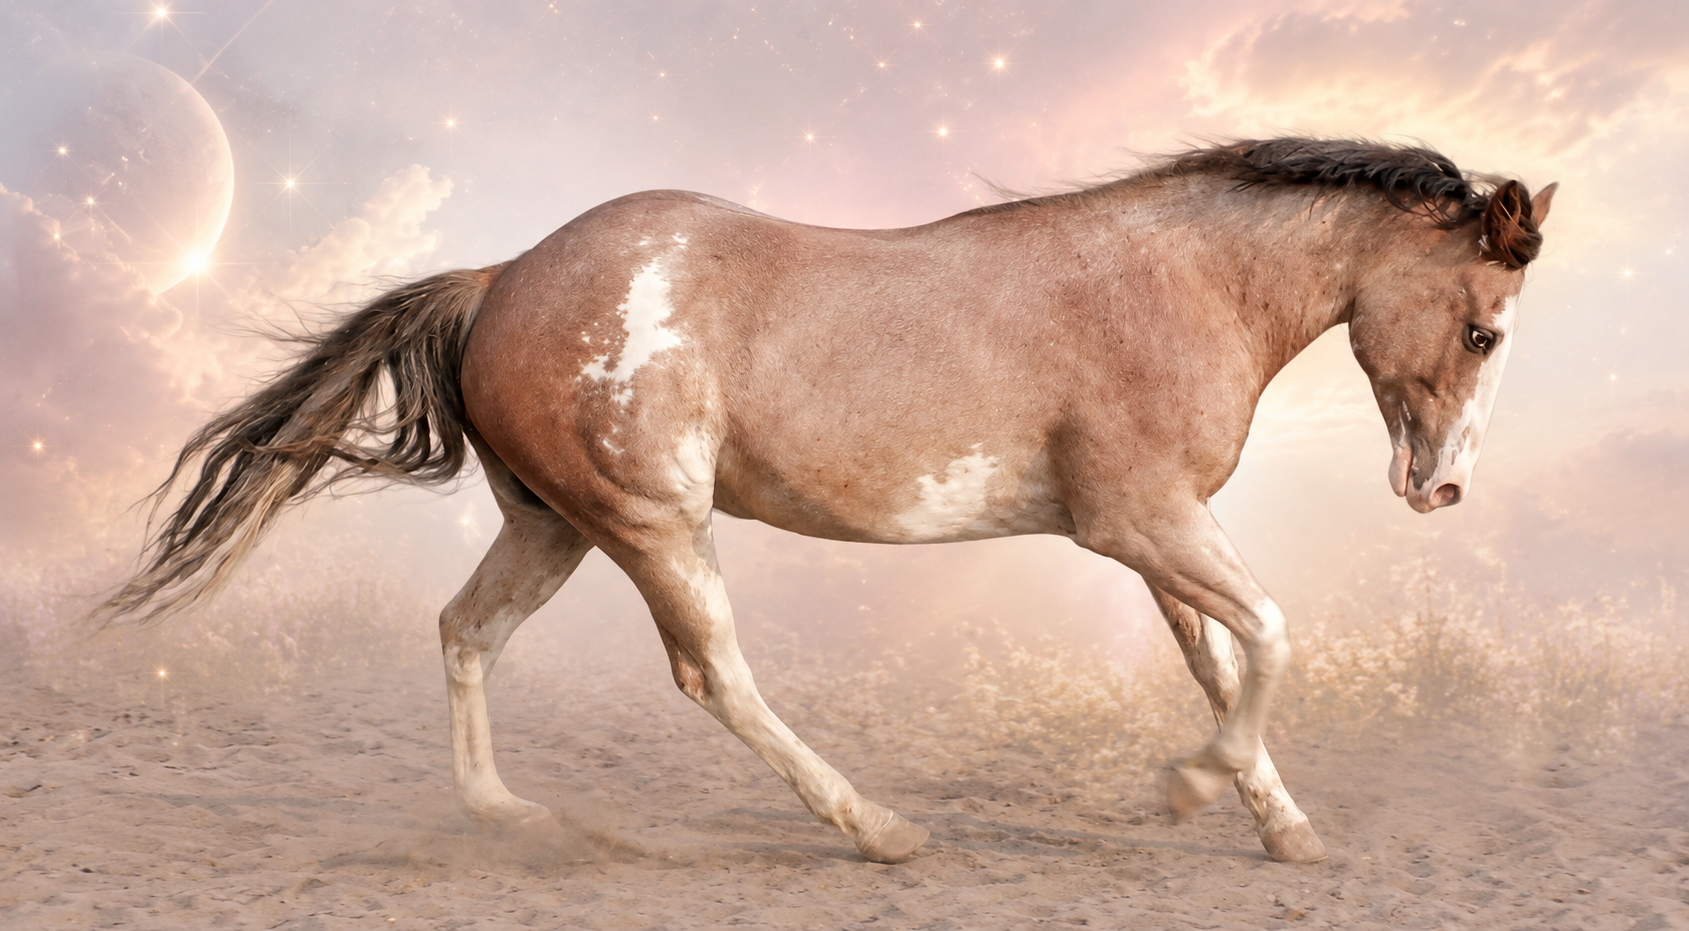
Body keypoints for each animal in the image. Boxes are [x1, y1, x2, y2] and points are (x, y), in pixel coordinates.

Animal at [102, 138, 1555, 865]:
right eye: (1484, 329)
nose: (1444, 486)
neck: (1172, 283)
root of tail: (502, 274)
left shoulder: (1157, 540)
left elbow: (1220, 655)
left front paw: (1279, 826)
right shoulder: (1142, 523)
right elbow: (1269, 635)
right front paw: (1198, 788)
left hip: (551, 524)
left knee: (467, 631)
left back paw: (513, 819)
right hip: (649, 525)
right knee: (712, 673)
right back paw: (879, 828)